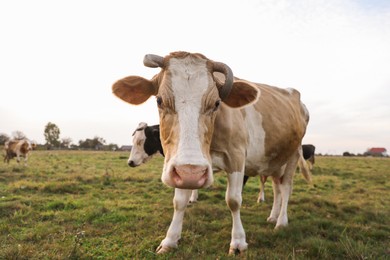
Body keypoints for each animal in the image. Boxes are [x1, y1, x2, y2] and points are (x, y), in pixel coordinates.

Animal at [112, 50, 310, 254]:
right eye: (159, 100)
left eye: (216, 103)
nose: (130, 162)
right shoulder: (181, 167)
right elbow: (179, 201)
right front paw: (170, 240)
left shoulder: (237, 158)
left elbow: (233, 200)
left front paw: (238, 242)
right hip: (274, 161)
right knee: (277, 188)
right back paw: (272, 216)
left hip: (293, 155)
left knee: (286, 188)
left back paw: (281, 222)